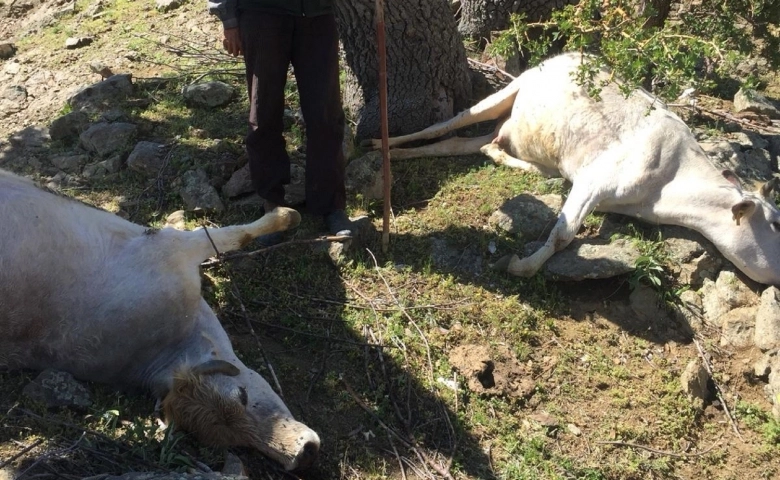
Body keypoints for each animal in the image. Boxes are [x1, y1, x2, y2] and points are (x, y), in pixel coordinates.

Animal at [0, 170, 320, 472]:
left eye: (243, 396)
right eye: (234, 442)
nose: (303, 454)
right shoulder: (176, 246)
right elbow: (234, 235)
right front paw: (287, 215)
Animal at [368, 52, 780, 284]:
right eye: (776, 223)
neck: (665, 189)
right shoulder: (595, 181)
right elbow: (564, 234)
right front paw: (518, 265)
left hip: (516, 131)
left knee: (465, 144)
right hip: (513, 88)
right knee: (445, 125)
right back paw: (378, 144)